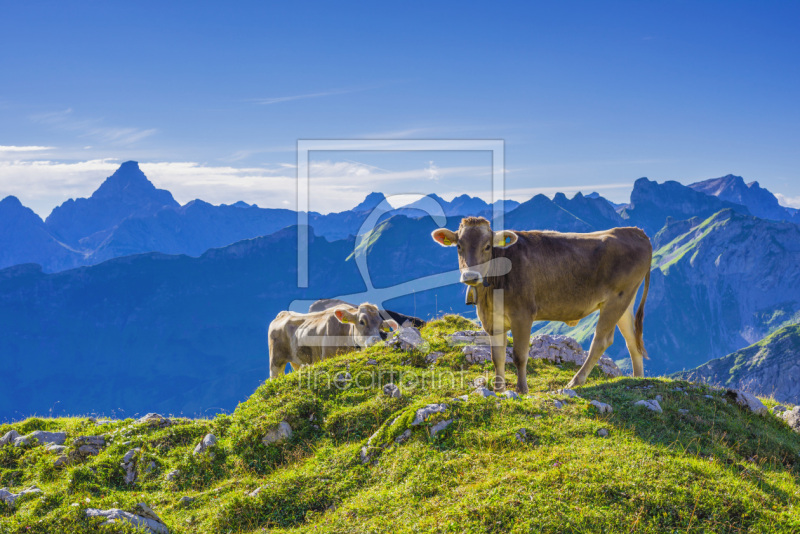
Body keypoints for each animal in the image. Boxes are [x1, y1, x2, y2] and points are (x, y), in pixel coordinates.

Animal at [268, 304, 398, 378]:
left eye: (381, 324)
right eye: (362, 321)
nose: (376, 341)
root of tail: (283, 314)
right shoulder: (327, 356)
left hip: (297, 361)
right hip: (276, 361)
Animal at [432, 217, 648, 394]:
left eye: (487, 246)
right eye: (459, 246)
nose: (471, 276)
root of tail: (635, 231)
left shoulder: (522, 315)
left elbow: (519, 355)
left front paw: (522, 389)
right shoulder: (493, 319)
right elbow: (497, 357)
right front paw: (499, 390)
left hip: (617, 298)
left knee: (602, 340)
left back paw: (575, 382)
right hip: (625, 300)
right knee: (632, 340)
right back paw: (638, 379)